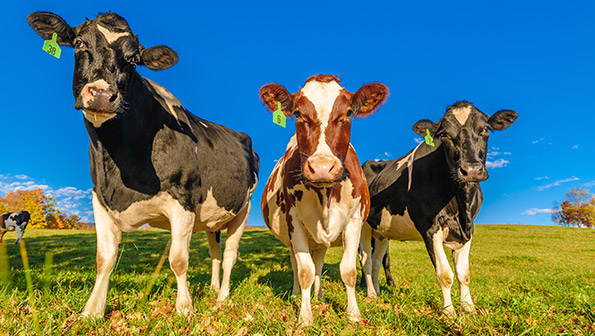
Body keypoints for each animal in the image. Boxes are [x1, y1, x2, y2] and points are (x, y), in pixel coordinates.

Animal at [258, 74, 388, 326]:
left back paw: (321, 296)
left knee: (327, 263)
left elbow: (348, 270)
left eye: (347, 113)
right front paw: (305, 317)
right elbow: (305, 271)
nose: (321, 168)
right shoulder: (294, 222)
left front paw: (354, 314)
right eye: (299, 114)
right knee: (298, 263)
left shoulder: (354, 222)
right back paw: (298, 294)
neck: (325, 194)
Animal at [360, 101, 520, 316]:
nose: (471, 170)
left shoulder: (469, 228)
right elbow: (445, 274)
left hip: (382, 230)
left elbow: (464, 273)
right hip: (364, 225)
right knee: (366, 260)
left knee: (378, 260)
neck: (460, 206)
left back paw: (378, 293)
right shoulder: (430, 228)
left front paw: (468, 307)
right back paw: (370, 294)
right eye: (444, 134)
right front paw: (449, 312)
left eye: (486, 129)